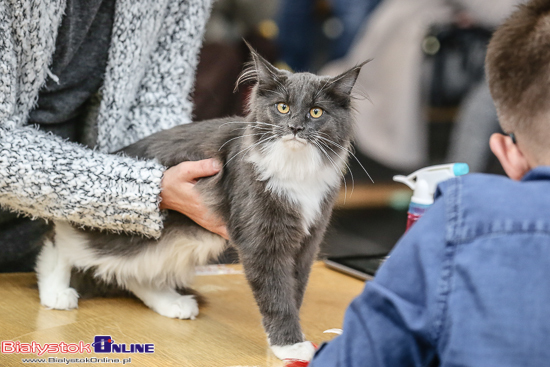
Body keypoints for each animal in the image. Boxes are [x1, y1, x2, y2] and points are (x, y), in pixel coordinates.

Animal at [36, 46, 368, 362]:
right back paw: (55, 289)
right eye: (282, 107)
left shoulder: (307, 241)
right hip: (128, 227)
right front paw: (289, 345)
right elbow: (276, 294)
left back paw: (171, 302)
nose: (296, 127)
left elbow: (293, 290)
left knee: (132, 271)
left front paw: (287, 339)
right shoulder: (263, 241)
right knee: (63, 235)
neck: (295, 168)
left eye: (316, 112)